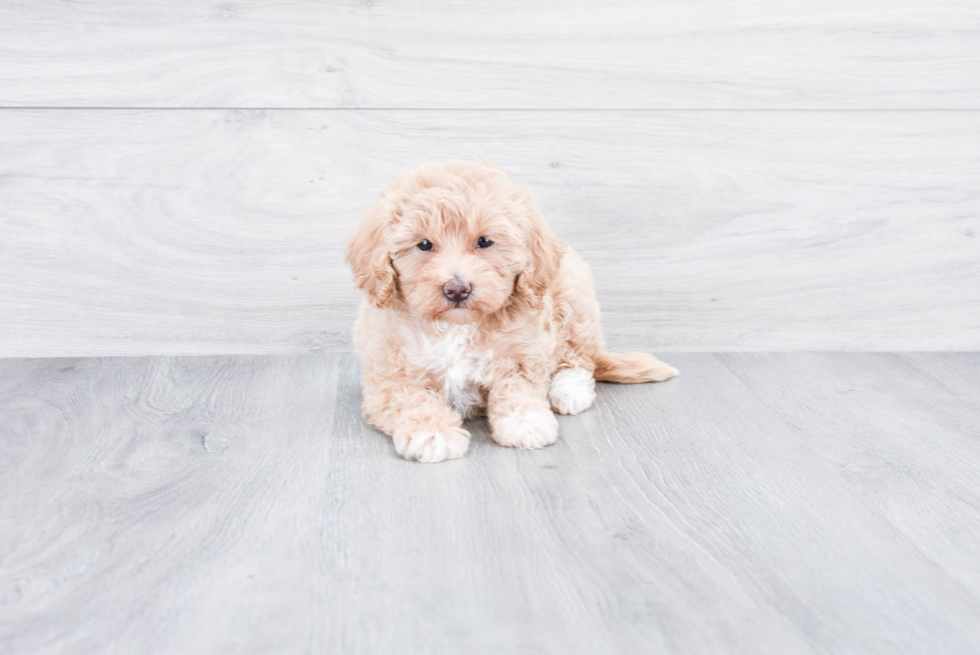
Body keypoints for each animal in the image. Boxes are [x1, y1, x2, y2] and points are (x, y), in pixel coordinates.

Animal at [348, 160, 676, 464]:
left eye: (484, 241)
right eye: (424, 244)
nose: (457, 289)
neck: (457, 326)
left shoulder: (523, 354)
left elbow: (517, 387)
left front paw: (525, 421)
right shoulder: (388, 377)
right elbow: (412, 400)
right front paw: (433, 432)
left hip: (574, 295)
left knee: (580, 358)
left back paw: (569, 390)